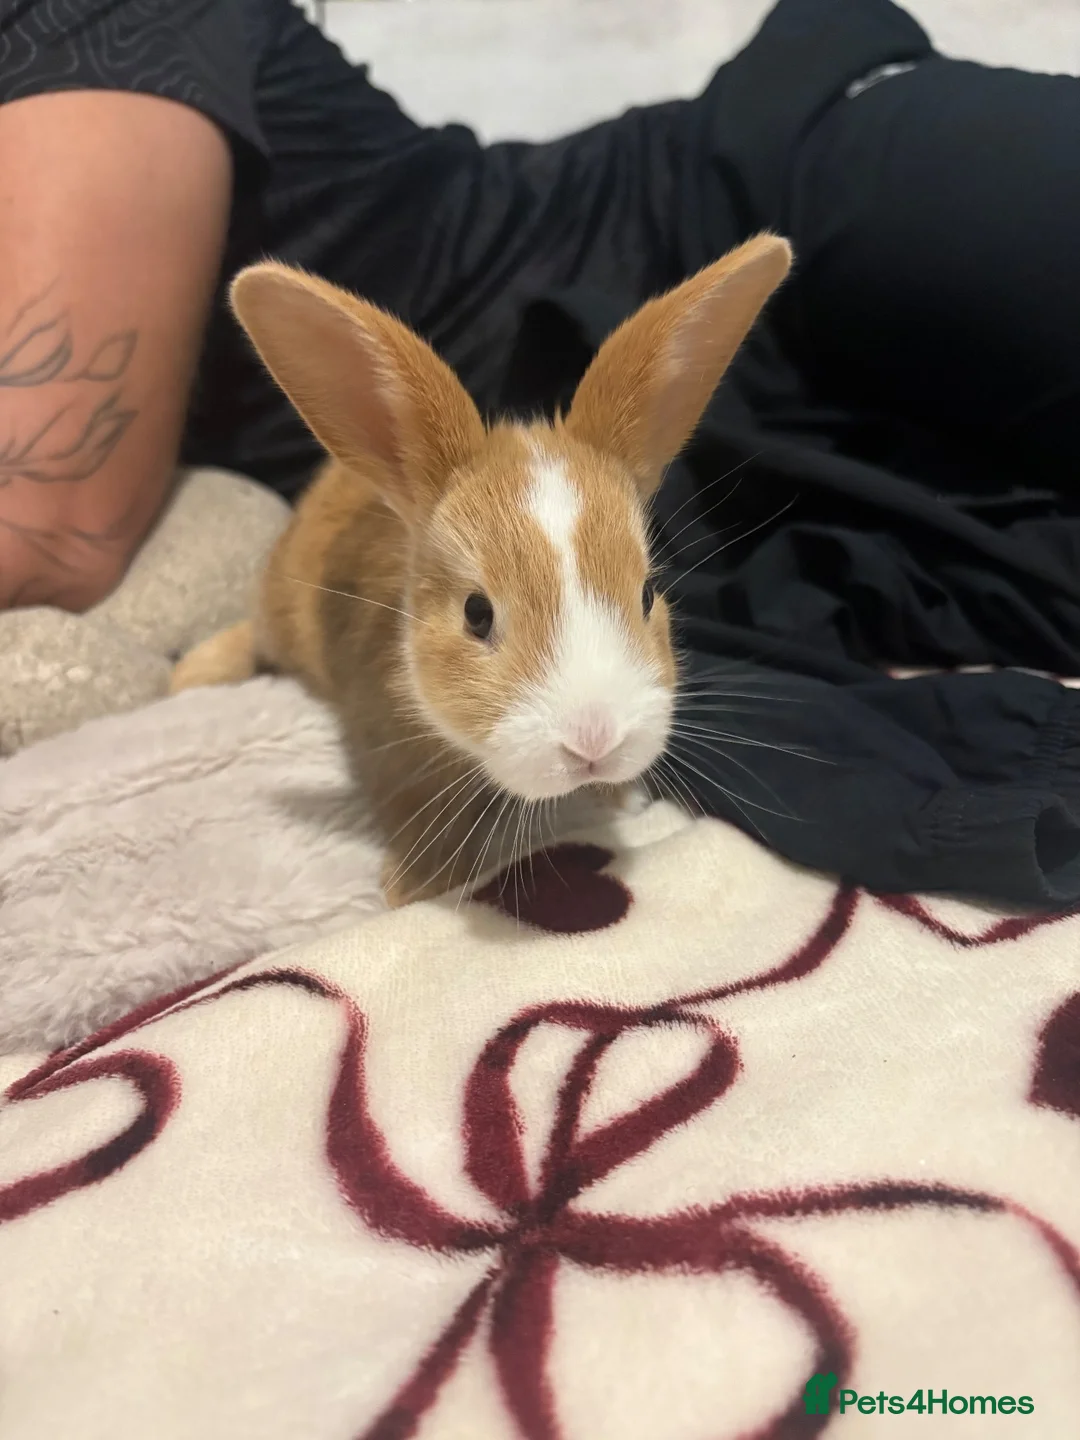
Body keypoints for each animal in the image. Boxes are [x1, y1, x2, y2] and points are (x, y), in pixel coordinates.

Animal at [170, 233, 792, 906]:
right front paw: (418, 885)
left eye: (648, 593)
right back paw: (187, 678)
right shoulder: (386, 749)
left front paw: (617, 798)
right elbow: (412, 808)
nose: (594, 743)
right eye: (476, 613)